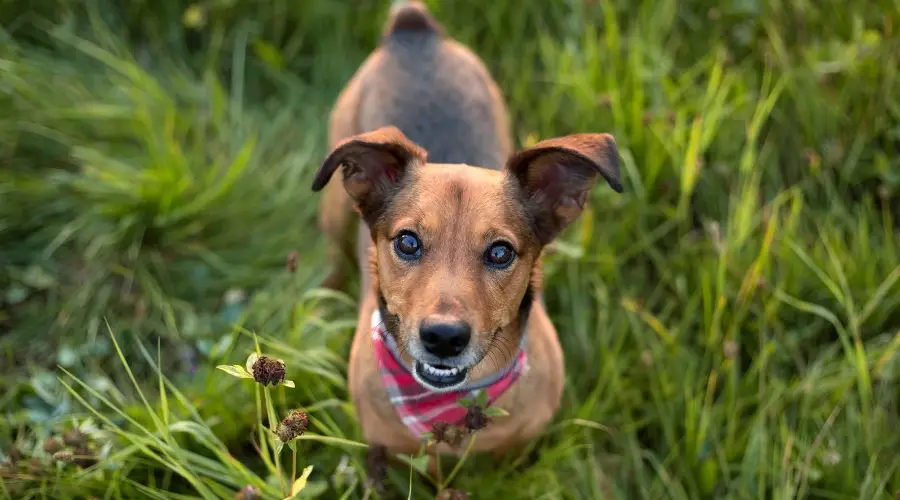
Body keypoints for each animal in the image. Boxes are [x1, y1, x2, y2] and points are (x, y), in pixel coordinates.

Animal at [310, 0, 620, 468]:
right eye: (407, 242)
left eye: (500, 252)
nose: (443, 338)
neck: (447, 407)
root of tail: (413, 29)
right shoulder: (386, 454)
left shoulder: (520, 449)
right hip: (334, 207)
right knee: (334, 256)